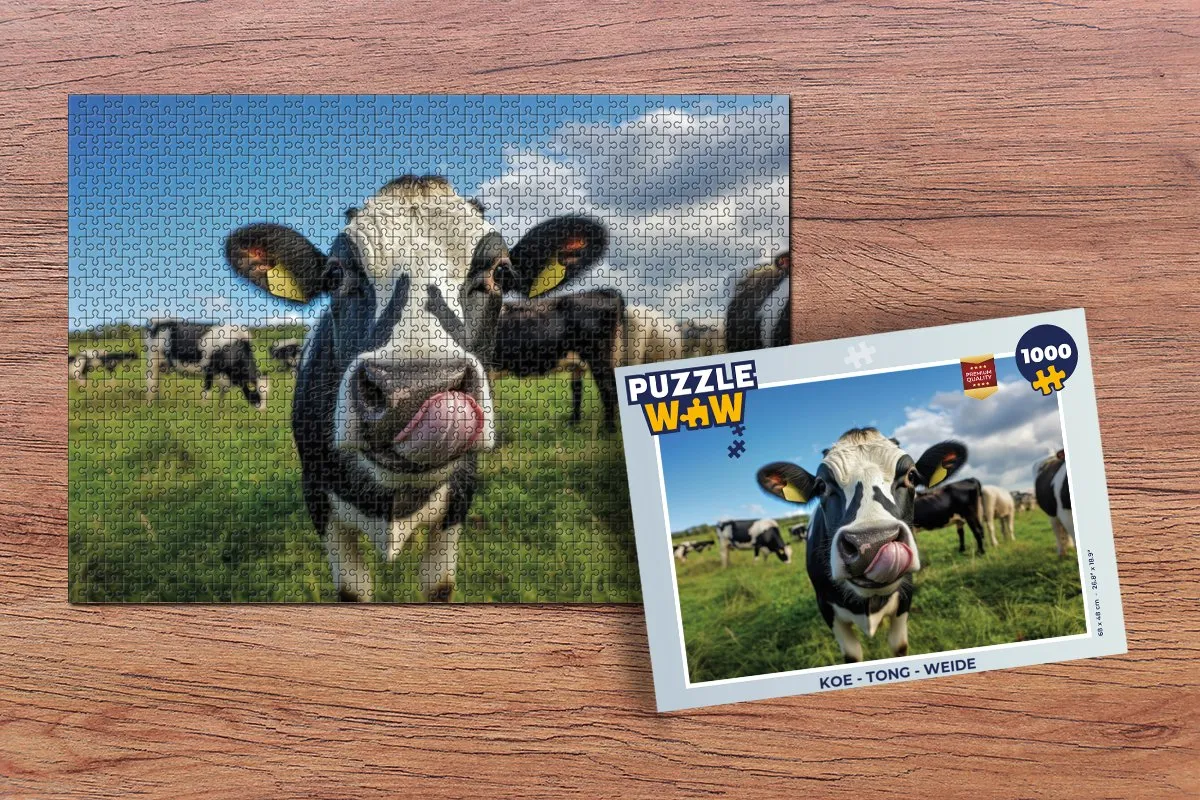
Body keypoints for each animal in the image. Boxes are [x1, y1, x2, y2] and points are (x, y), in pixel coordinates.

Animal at [223, 175, 608, 601]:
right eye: (335, 275)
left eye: (501, 273)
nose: (413, 392)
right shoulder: (317, 496)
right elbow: (353, 591)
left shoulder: (460, 494)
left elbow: (438, 586)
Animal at [758, 428, 967, 662]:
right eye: (821, 486)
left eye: (911, 475)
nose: (872, 544)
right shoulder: (826, 606)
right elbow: (852, 655)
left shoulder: (905, 596)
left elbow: (899, 646)